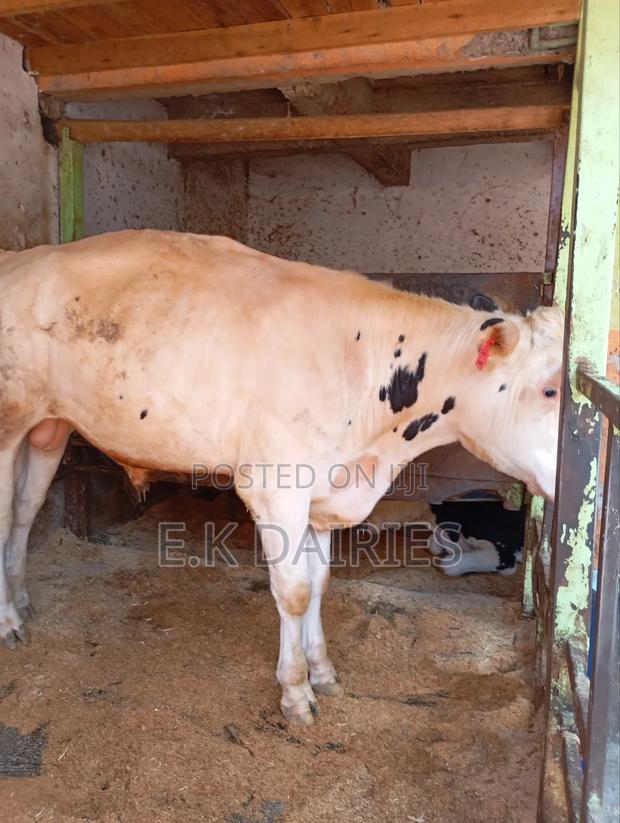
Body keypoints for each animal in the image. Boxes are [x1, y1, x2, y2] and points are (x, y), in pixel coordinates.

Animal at [0, 230, 563, 725]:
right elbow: (292, 591)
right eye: (550, 390)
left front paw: (323, 672)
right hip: (7, 424)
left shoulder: (326, 492)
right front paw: (295, 692)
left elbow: (319, 583)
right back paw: (8, 620)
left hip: (49, 428)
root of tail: (16, 258)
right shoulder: (275, 488)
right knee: (6, 513)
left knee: (26, 510)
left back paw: (21, 599)